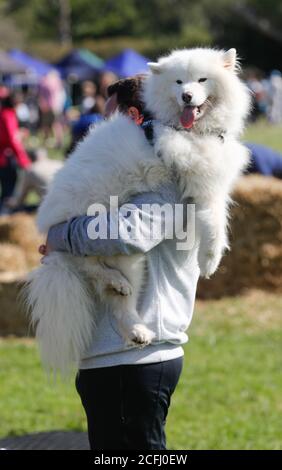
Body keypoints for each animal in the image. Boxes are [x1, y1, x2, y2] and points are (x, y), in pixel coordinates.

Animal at [25, 47, 251, 370]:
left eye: (201, 80)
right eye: (179, 82)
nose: (186, 96)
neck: (188, 131)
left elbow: (219, 218)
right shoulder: (204, 185)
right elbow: (215, 224)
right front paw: (210, 261)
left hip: (128, 258)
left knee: (109, 292)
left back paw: (133, 323)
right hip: (114, 242)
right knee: (88, 267)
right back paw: (131, 315)